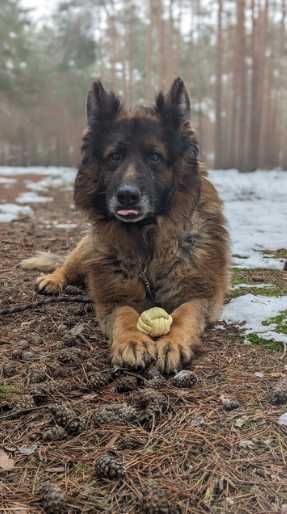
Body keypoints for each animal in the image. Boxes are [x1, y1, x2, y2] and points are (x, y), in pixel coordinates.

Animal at [31, 77, 231, 372]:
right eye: (114, 156)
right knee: (67, 265)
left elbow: (185, 313)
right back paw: (53, 279)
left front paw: (172, 342)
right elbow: (125, 314)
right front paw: (132, 341)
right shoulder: (112, 297)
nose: (127, 195)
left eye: (155, 157)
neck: (148, 240)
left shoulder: (201, 294)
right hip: (87, 249)